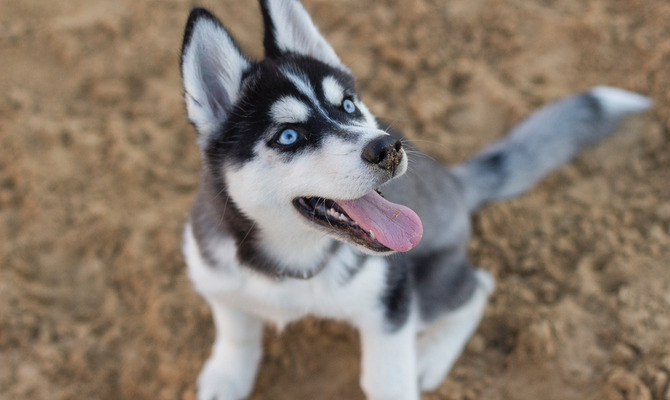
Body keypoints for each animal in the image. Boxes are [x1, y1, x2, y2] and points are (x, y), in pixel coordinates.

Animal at [181, 1, 652, 398]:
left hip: (426, 290)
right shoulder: (216, 279)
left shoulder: (391, 306)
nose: (389, 147)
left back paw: (430, 356)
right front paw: (228, 376)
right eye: (289, 136)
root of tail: (454, 182)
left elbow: (388, 378)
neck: (292, 263)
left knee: (480, 285)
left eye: (348, 105)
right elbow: (236, 329)